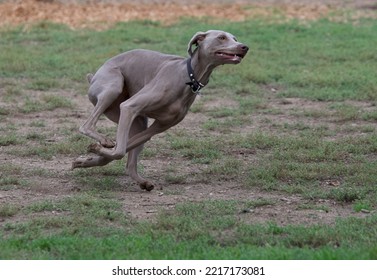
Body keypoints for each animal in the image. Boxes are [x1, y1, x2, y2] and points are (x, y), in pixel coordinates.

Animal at [72, 30, 250, 191]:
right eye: (222, 37)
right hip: (113, 87)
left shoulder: (158, 127)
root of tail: (93, 77)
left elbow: (122, 150)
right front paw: (95, 150)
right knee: (86, 126)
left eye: (235, 38)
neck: (188, 76)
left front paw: (87, 160)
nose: (244, 47)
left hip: (137, 122)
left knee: (130, 161)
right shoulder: (129, 107)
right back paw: (103, 141)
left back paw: (140, 180)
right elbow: (120, 150)